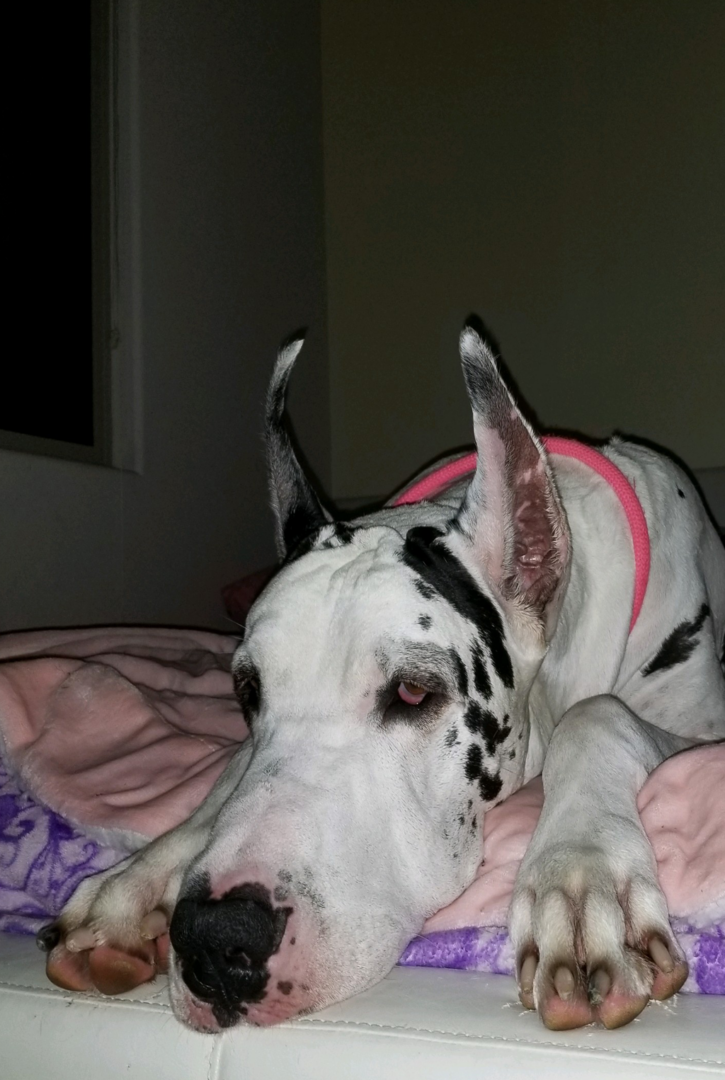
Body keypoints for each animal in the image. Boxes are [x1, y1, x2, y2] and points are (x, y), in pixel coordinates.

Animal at [39, 326, 725, 1028]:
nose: (214, 939)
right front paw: (135, 880)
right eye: (248, 693)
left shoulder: (700, 725)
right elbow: (229, 774)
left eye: (414, 692)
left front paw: (580, 871)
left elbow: (597, 715)